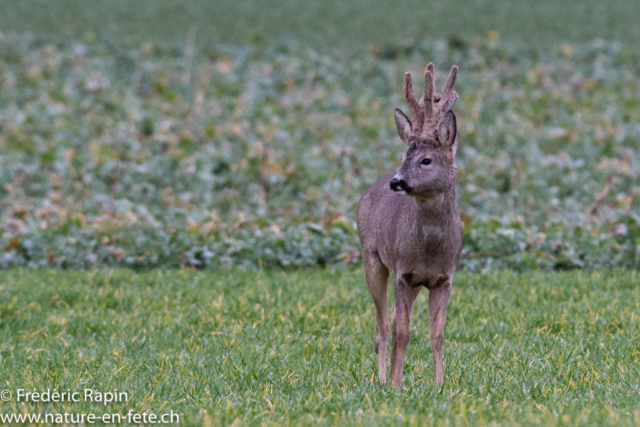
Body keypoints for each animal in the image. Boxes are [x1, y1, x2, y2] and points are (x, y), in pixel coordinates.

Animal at [358, 62, 462, 388]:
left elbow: (437, 334)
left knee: (390, 318)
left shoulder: (443, 278)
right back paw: (381, 380)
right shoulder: (403, 273)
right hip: (372, 258)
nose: (397, 181)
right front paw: (396, 384)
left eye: (426, 160)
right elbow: (402, 333)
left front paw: (440, 384)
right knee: (382, 326)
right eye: (404, 156)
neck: (430, 248)